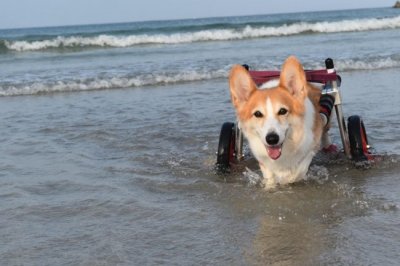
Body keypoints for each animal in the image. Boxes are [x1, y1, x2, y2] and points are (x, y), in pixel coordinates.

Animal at [230, 56, 326, 188]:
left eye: (282, 111)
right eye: (258, 114)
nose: (272, 139)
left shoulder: (311, 147)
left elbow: (300, 169)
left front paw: (289, 178)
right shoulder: (263, 159)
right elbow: (269, 176)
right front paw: (270, 186)